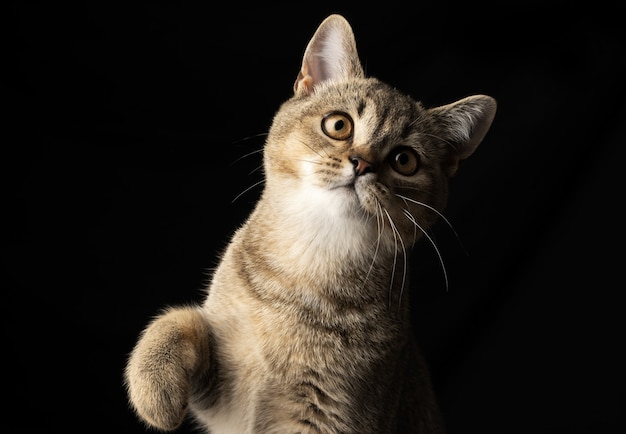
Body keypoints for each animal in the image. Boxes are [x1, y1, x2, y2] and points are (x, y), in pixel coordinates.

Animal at [124, 13, 494, 434]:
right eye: (339, 125)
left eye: (404, 161)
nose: (362, 164)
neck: (307, 266)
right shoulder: (221, 396)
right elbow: (179, 319)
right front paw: (154, 386)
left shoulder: (327, 416)